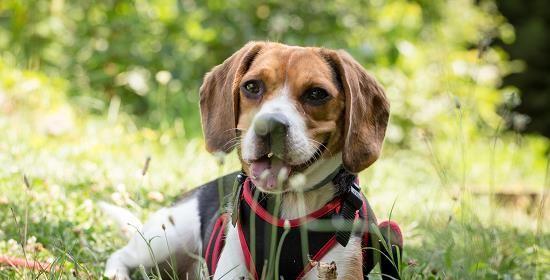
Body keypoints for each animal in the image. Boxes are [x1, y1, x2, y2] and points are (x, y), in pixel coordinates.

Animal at [103, 42, 404, 280]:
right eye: (251, 86)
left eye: (317, 94)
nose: (269, 126)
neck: (289, 203)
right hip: (165, 238)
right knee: (121, 256)